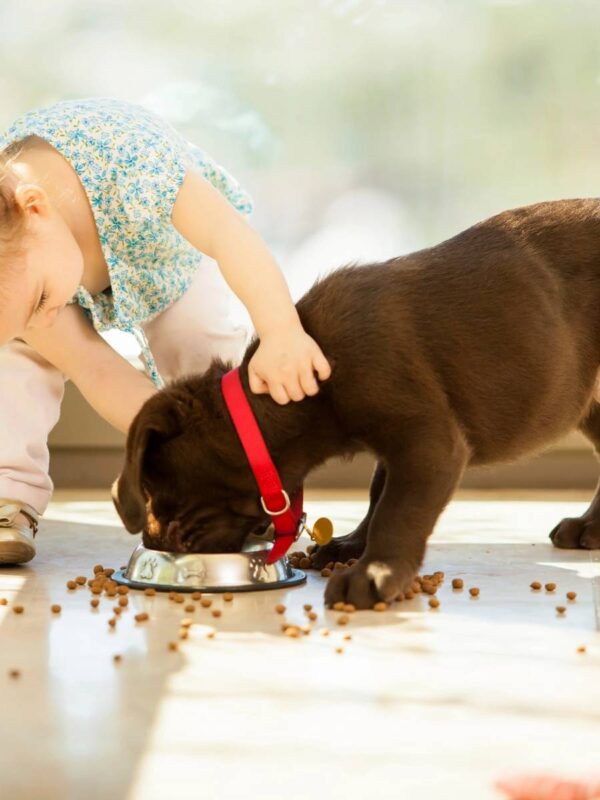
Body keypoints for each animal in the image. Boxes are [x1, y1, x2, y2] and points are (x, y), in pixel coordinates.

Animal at [115, 200, 600, 608]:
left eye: (155, 490)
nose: (157, 543)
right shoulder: (398, 440)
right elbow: (378, 491)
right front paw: (351, 545)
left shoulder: (428, 440)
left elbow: (397, 510)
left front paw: (374, 574)